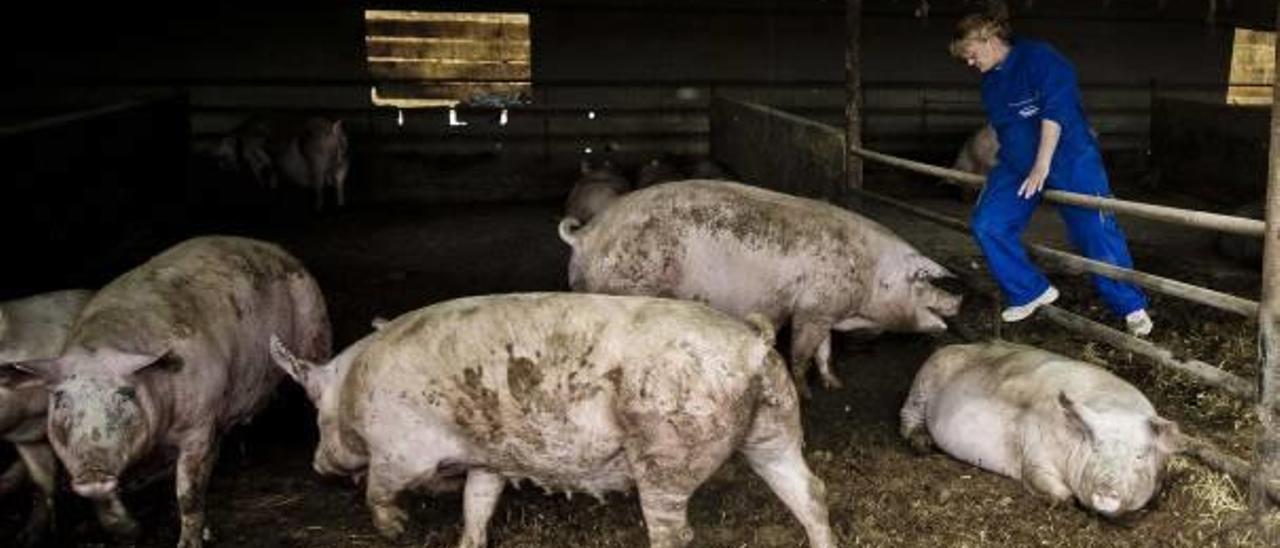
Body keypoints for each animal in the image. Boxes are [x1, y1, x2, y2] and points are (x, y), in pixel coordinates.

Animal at [18, 235, 332, 548]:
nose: (93, 470)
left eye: (125, 394)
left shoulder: (199, 425)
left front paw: (188, 543)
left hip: (316, 333)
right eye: (61, 398)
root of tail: (276, 249)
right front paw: (131, 532)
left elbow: (187, 492)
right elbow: (105, 499)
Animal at [264, 295, 834, 548]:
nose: (316, 465)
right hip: (775, 430)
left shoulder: (401, 453)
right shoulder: (489, 458)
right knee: (811, 492)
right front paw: (468, 544)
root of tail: (752, 344)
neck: (352, 386)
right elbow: (477, 503)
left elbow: (377, 490)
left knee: (676, 531)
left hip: (666, 453)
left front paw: (395, 528)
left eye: (315, 411)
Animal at [558, 181, 962, 396]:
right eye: (923, 280)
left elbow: (825, 351)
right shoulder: (810, 310)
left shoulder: (824, 310)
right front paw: (806, 393)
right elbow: (801, 352)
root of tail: (585, 235)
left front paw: (835, 385)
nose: (959, 298)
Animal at [901, 343, 1177, 517]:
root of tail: (949, 346)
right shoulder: (1035, 455)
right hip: (925, 381)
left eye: (1139, 455)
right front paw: (1067, 501)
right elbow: (1057, 491)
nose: (1107, 489)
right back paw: (923, 445)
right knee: (907, 416)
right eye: (1096, 448)